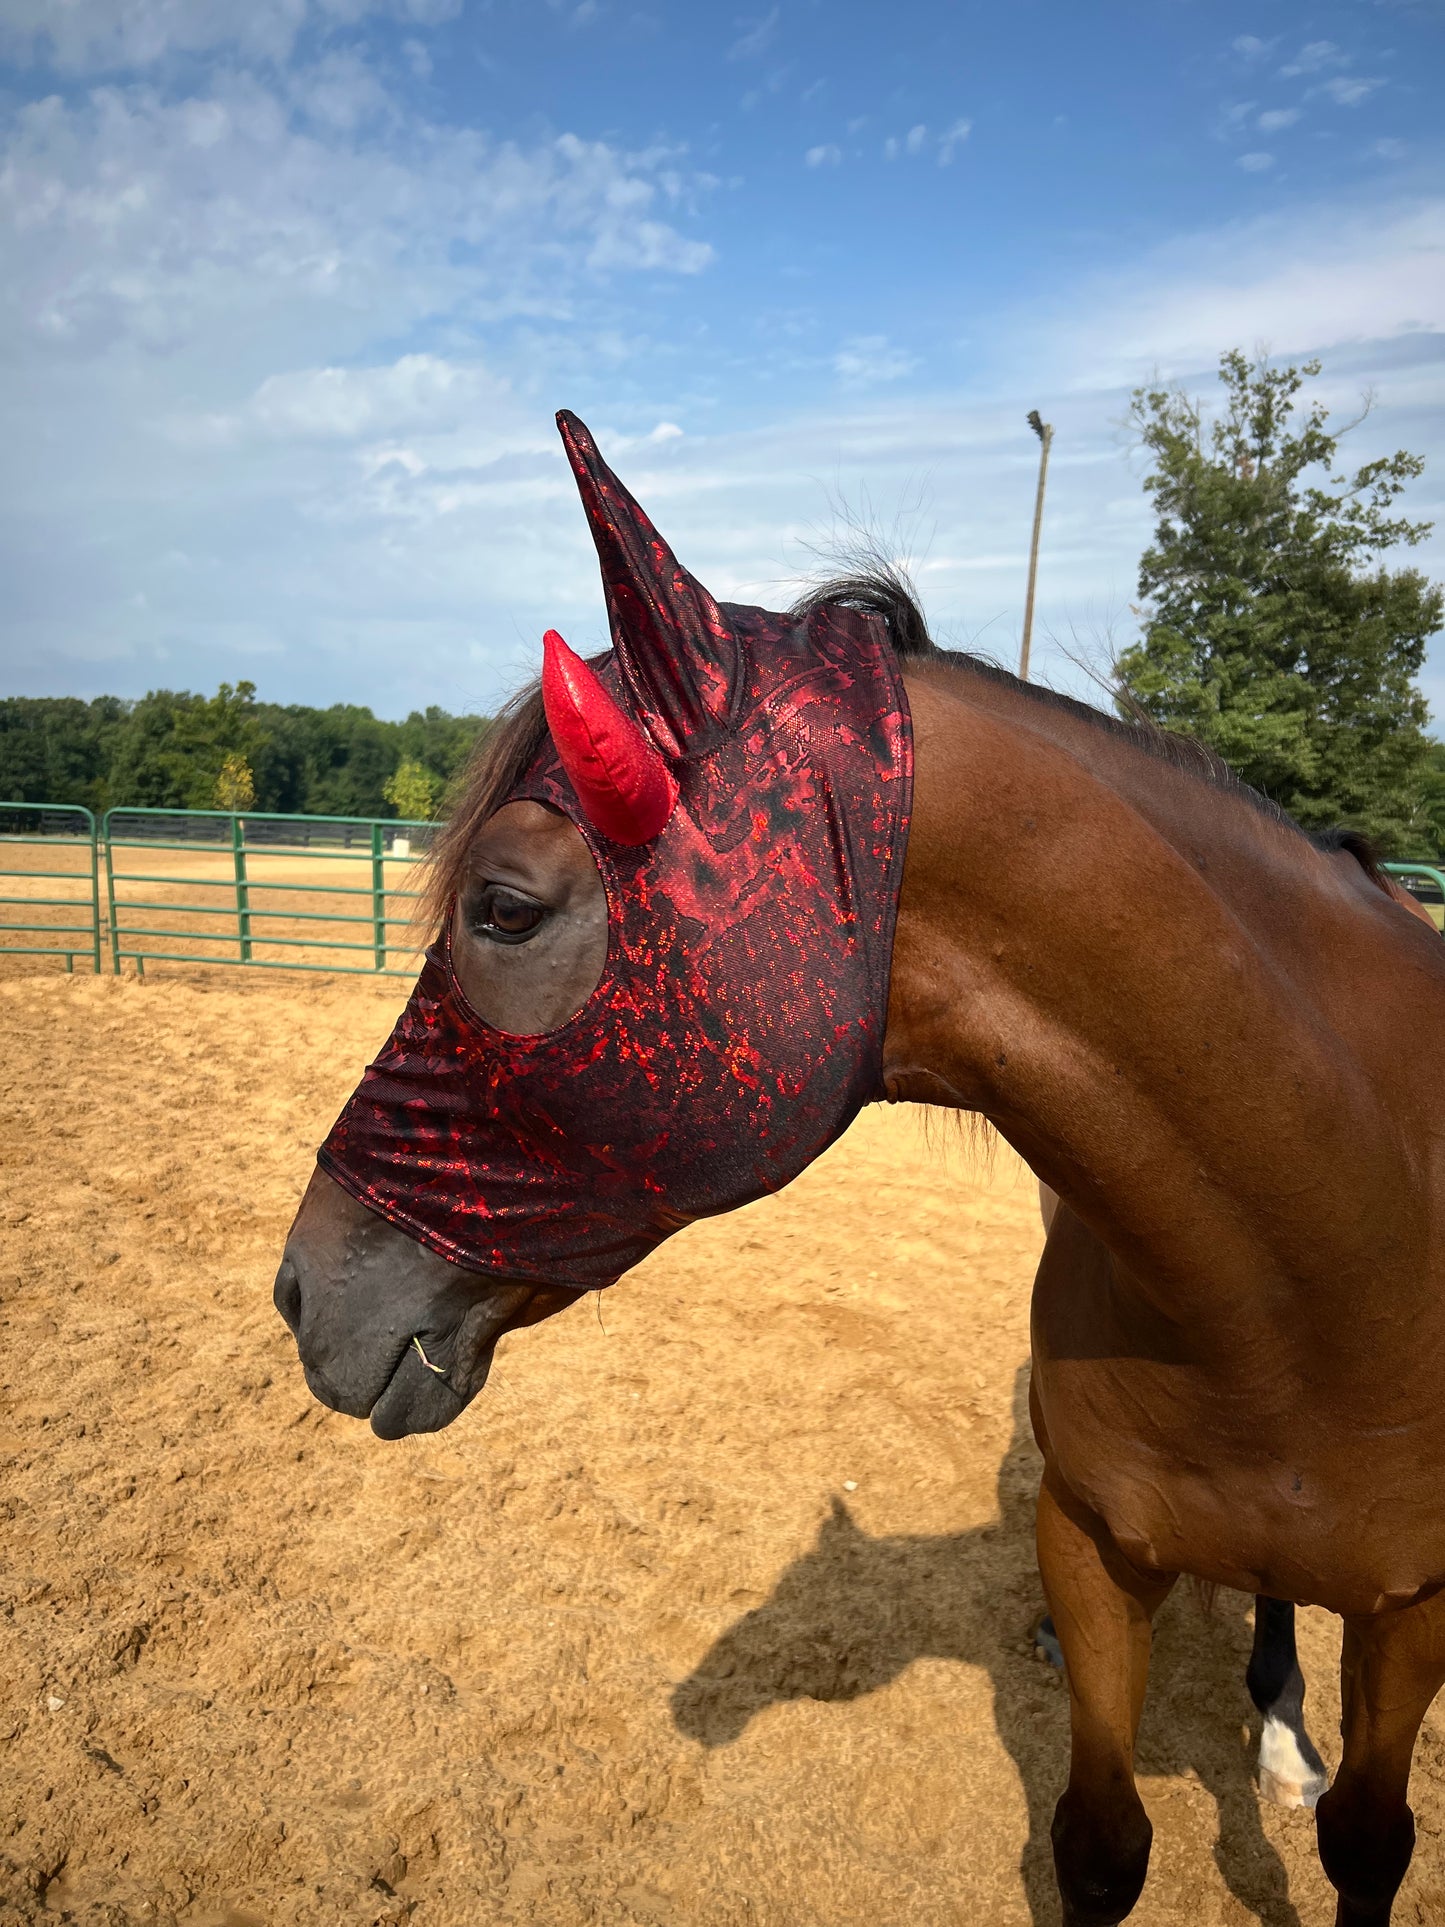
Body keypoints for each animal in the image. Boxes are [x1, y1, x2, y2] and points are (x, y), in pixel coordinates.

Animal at [274, 411, 1445, 1926]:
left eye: (505, 907)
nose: (302, 1289)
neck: (1327, 1255)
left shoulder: (1414, 1615)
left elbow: (1367, 1840)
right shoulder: (1093, 1550)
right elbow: (1099, 1840)